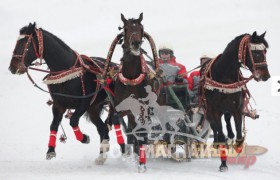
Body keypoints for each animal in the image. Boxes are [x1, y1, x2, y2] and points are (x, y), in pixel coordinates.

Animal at [8, 22, 111, 163]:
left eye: (24, 44)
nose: (12, 67)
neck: (67, 73)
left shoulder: (84, 103)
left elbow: (73, 120)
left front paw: (84, 138)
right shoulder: (59, 105)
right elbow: (53, 125)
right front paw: (50, 150)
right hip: (93, 109)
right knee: (102, 129)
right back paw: (101, 156)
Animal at [200, 31, 270, 172]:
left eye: (265, 51)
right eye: (256, 53)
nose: (266, 75)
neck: (225, 76)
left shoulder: (237, 107)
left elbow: (238, 133)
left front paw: (237, 146)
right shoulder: (214, 110)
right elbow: (220, 132)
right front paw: (223, 163)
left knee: (227, 121)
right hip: (208, 109)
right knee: (214, 126)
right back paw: (217, 142)